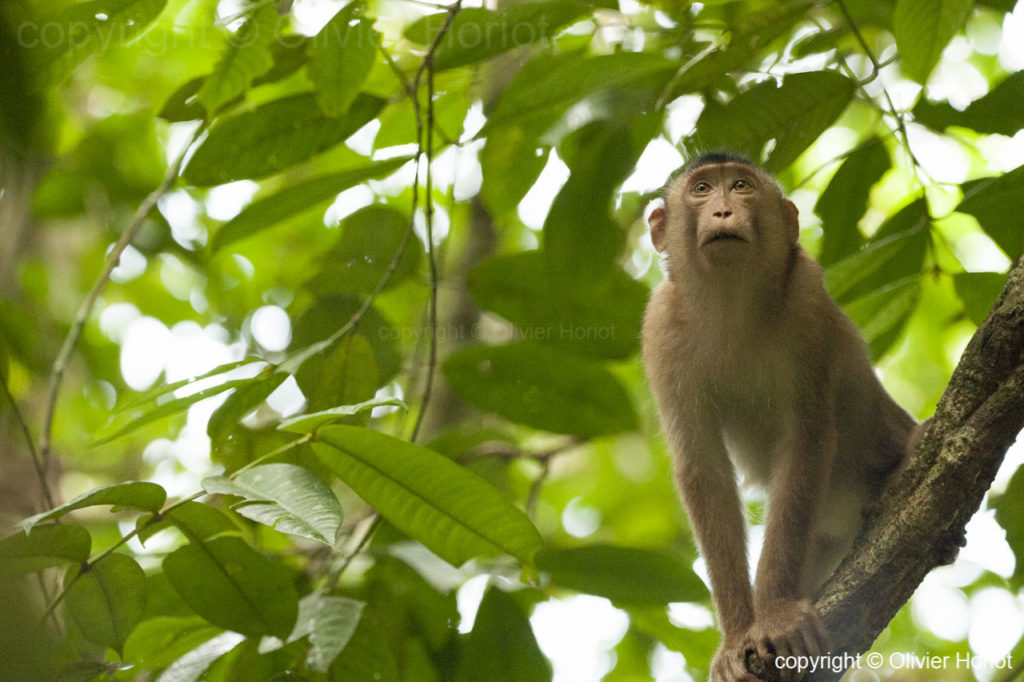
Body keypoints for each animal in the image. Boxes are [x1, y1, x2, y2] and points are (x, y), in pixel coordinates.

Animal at [643, 153, 917, 679]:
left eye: (741, 187)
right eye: (702, 189)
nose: (724, 210)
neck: (731, 303)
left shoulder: (806, 299)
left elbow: (806, 441)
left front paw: (774, 616)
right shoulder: (660, 326)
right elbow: (703, 469)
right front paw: (735, 637)